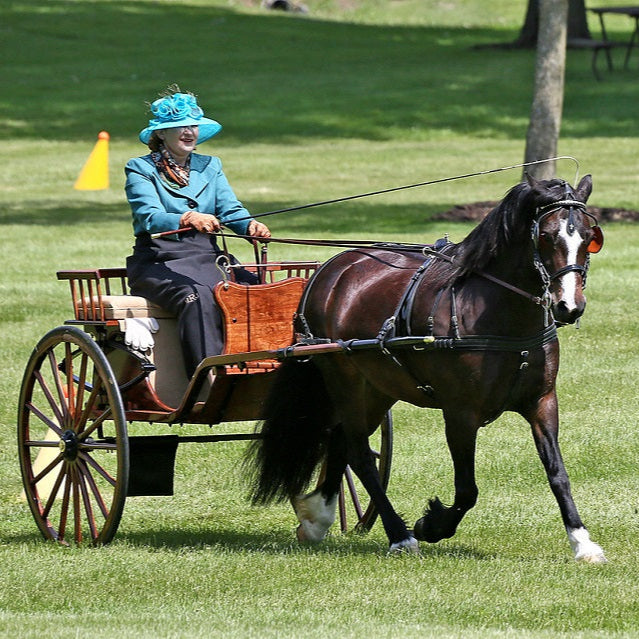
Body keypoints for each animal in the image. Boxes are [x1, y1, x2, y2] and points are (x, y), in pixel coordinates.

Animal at [248, 172, 608, 564]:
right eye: (546, 235)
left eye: (590, 238)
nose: (568, 307)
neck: (498, 314)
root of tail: (331, 269)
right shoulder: (460, 412)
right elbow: (467, 489)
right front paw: (431, 524)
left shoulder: (542, 402)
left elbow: (558, 473)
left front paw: (582, 542)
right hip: (344, 379)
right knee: (358, 451)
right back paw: (399, 535)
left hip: (378, 387)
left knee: (341, 440)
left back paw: (318, 518)